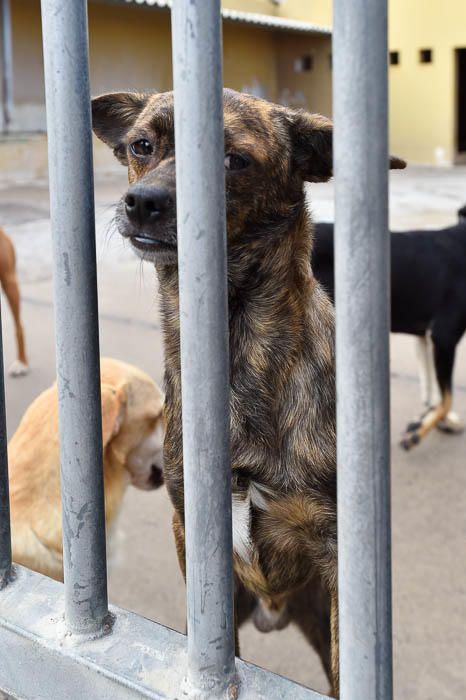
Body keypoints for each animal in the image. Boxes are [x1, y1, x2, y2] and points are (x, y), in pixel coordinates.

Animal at [93, 90, 406, 696]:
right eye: (142, 145)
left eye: (233, 159)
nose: (142, 202)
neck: (241, 351)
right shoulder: (192, 538)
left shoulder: (337, 558)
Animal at [312, 206, 466, 448]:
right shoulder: (444, 336)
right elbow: (447, 398)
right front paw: (417, 433)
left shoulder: (426, 337)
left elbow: (433, 392)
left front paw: (434, 420)